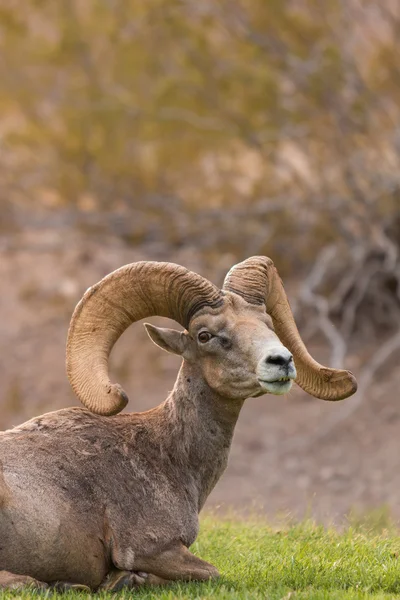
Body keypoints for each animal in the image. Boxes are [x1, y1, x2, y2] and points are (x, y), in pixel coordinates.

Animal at [0, 255, 356, 588]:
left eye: (268, 323)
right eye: (204, 335)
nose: (281, 361)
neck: (166, 453)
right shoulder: (151, 549)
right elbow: (212, 572)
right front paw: (123, 581)